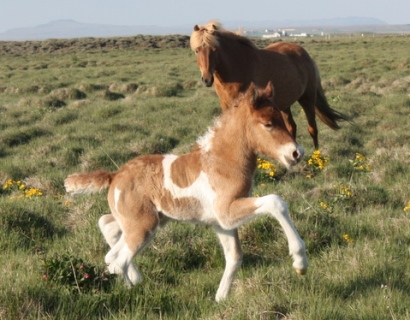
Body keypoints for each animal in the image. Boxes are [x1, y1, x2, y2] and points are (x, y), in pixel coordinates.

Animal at [65, 81, 308, 302]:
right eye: (267, 124)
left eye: (282, 119)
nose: (296, 153)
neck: (221, 161)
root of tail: (115, 175)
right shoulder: (226, 212)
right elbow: (276, 201)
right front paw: (300, 261)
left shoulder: (222, 222)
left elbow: (234, 256)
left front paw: (220, 298)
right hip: (143, 226)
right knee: (118, 261)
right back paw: (132, 288)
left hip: (148, 219)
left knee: (108, 232)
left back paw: (135, 278)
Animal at [190, 21, 350, 149]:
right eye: (197, 50)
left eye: (215, 50)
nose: (206, 79)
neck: (239, 68)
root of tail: (304, 54)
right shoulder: (227, 107)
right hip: (285, 104)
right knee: (292, 128)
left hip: (307, 99)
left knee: (312, 128)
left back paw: (317, 155)